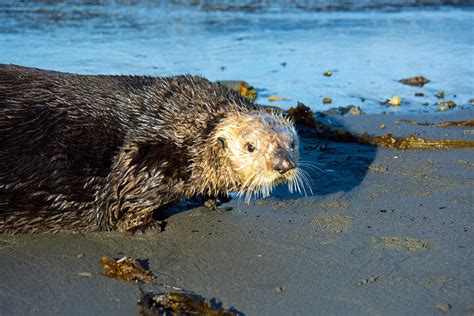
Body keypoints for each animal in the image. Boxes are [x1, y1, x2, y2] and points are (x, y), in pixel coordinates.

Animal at [0, 65, 306, 232]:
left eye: (292, 143)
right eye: (250, 146)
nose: (283, 164)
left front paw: (215, 196)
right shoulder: (153, 152)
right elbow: (124, 192)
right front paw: (143, 226)